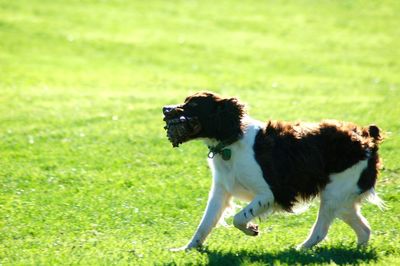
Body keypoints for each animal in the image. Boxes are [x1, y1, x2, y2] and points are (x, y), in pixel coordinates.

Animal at [162, 91, 384, 249]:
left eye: (193, 105)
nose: (165, 108)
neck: (231, 143)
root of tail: (367, 137)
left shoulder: (269, 194)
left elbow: (238, 218)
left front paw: (251, 229)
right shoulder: (220, 192)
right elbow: (204, 224)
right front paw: (186, 249)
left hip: (333, 194)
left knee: (321, 231)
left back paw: (298, 250)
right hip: (342, 200)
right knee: (364, 230)